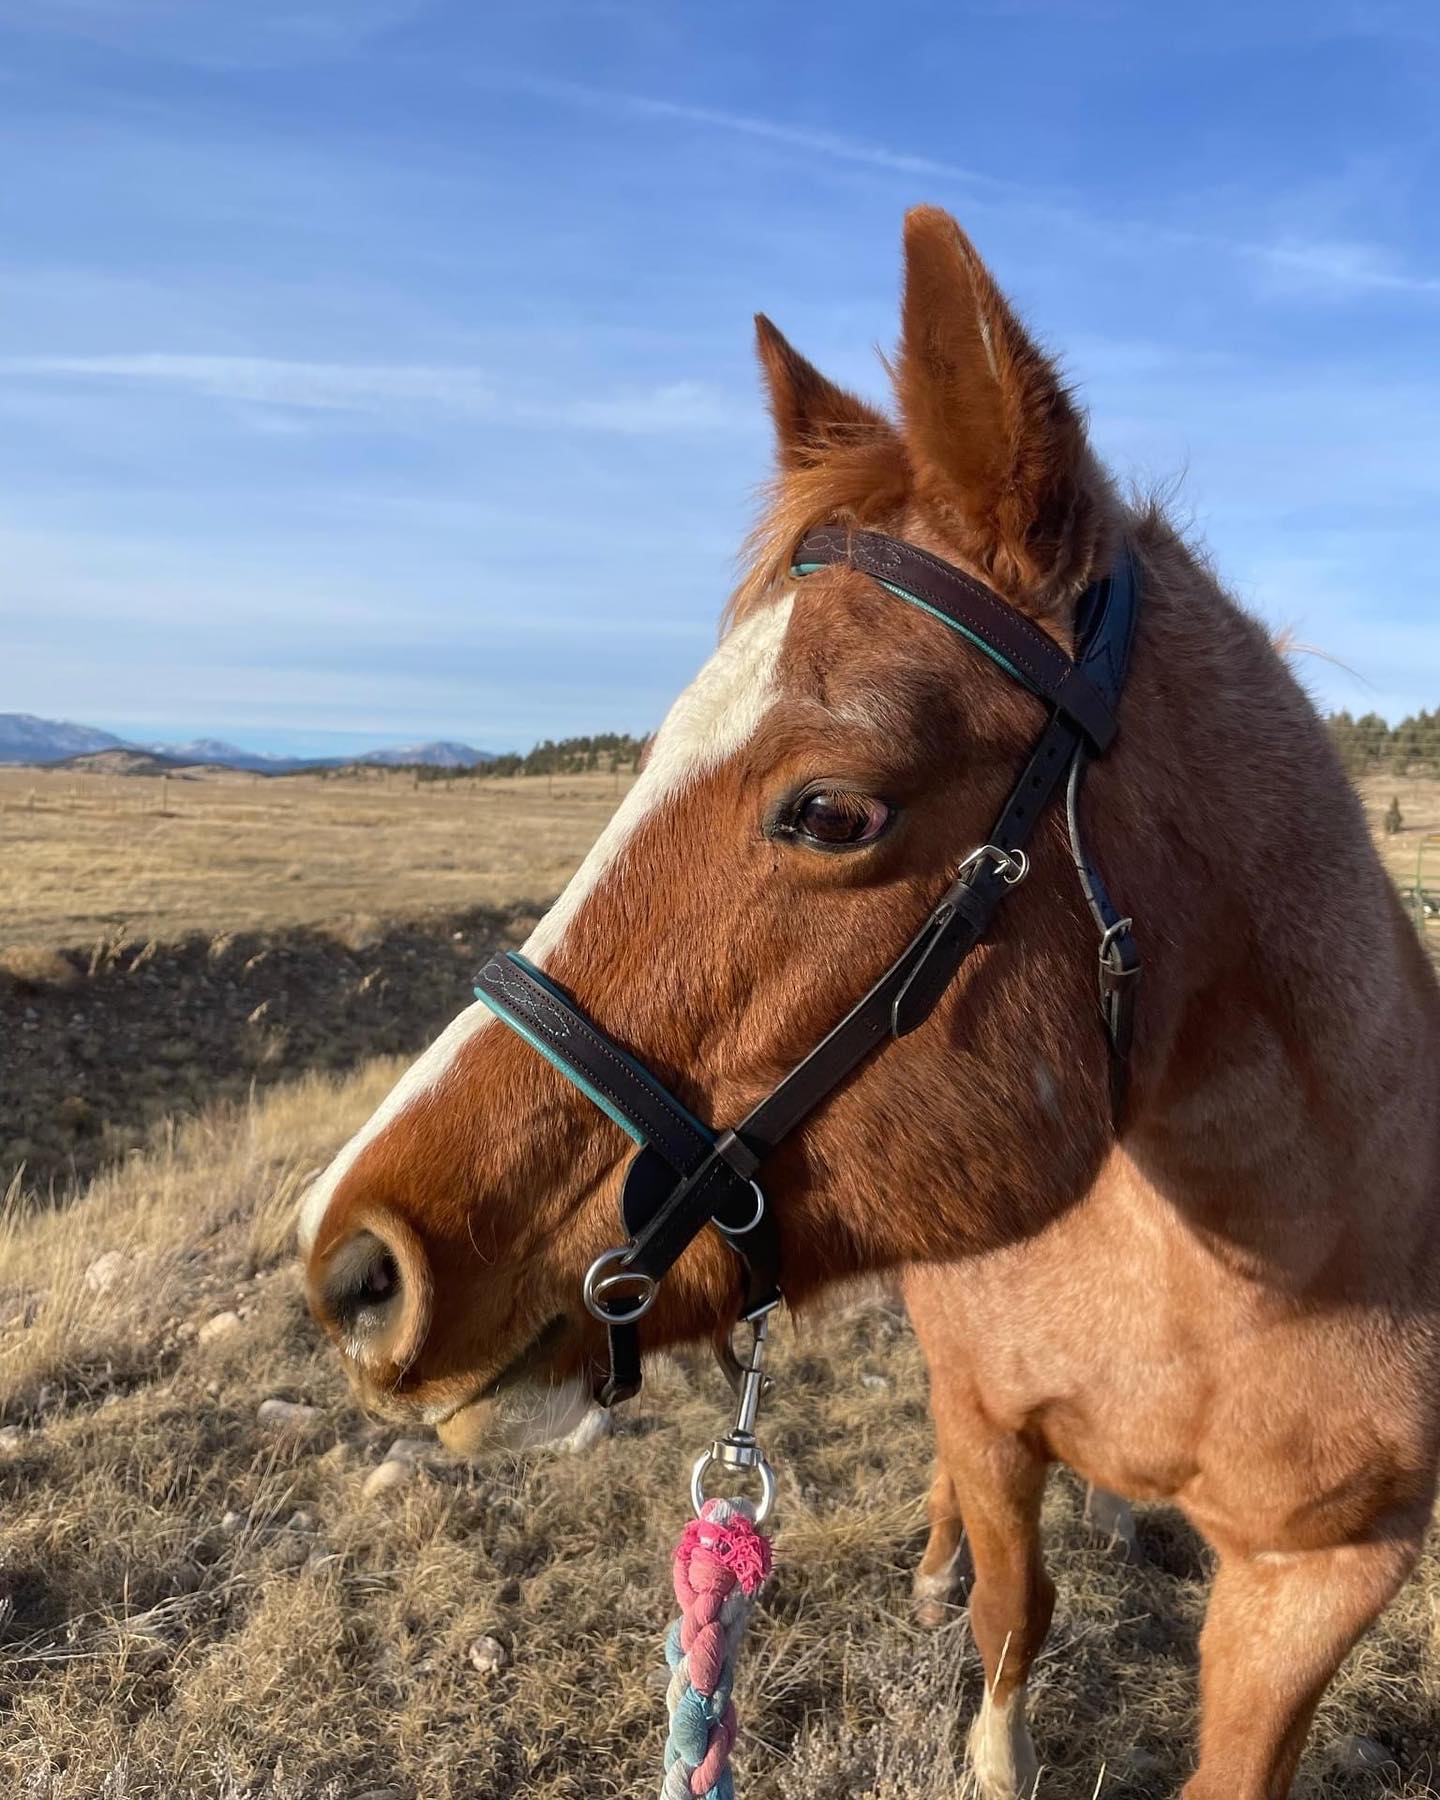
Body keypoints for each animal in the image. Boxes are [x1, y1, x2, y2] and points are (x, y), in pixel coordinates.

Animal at [299, 206, 1440, 1799]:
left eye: (832, 811)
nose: (354, 1266)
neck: (1239, 1267)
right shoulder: (989, 1417)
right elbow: (1014, 1622)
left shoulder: (1323, 1576)